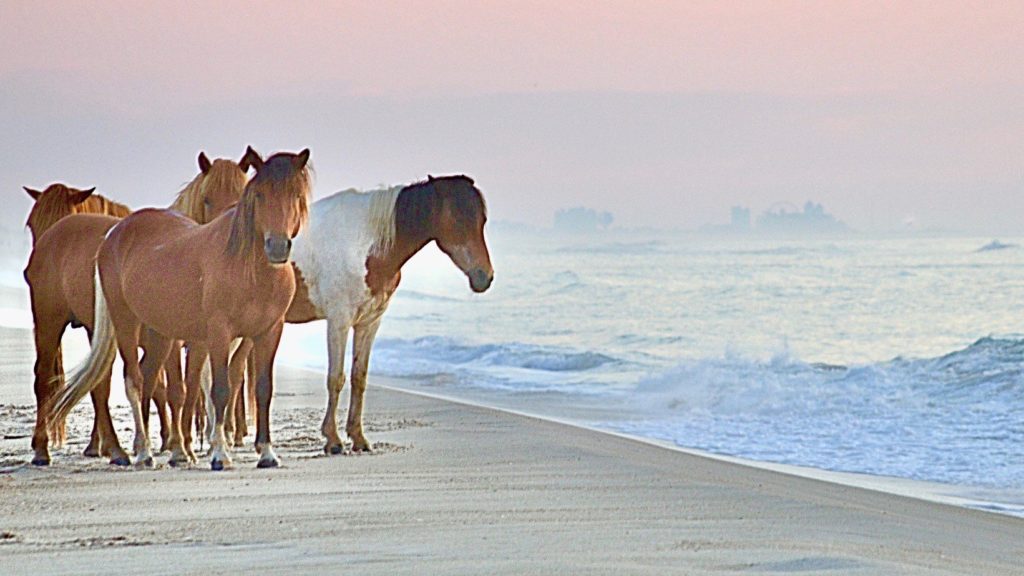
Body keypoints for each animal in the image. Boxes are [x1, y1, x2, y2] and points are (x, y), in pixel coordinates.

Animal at [23, 153, 247, 467]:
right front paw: (177, 447)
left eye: (243, 193)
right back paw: (45, 449)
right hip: (50, 322)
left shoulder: (196, 342)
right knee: (45, 379)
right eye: (206, 198)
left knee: (101, 384)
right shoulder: (171, 341)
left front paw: (184, 446)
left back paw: (113, 448)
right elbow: (175, 391)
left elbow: (188, 388)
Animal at [48, 145, 311, 469]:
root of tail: (113, 234)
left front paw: (267, 453)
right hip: (126, 323)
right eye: (260, 195)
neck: (249, 267)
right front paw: (219, 454)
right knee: (134, 381)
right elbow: (219, 390)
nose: (277, 246)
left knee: (149, 380)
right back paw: (145, 452)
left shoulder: (268, 333)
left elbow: (263, 389)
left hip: (161, 333)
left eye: (296, 195)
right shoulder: (219, 333)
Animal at [284, 175, 491, 453]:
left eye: (482, 221)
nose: (484, 277)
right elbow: (335, 379)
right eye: (459, 219)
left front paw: (358, 438)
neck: (365, 245)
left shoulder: (369, 323)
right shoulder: (339, 322)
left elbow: (359, 377)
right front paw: (333, 439)